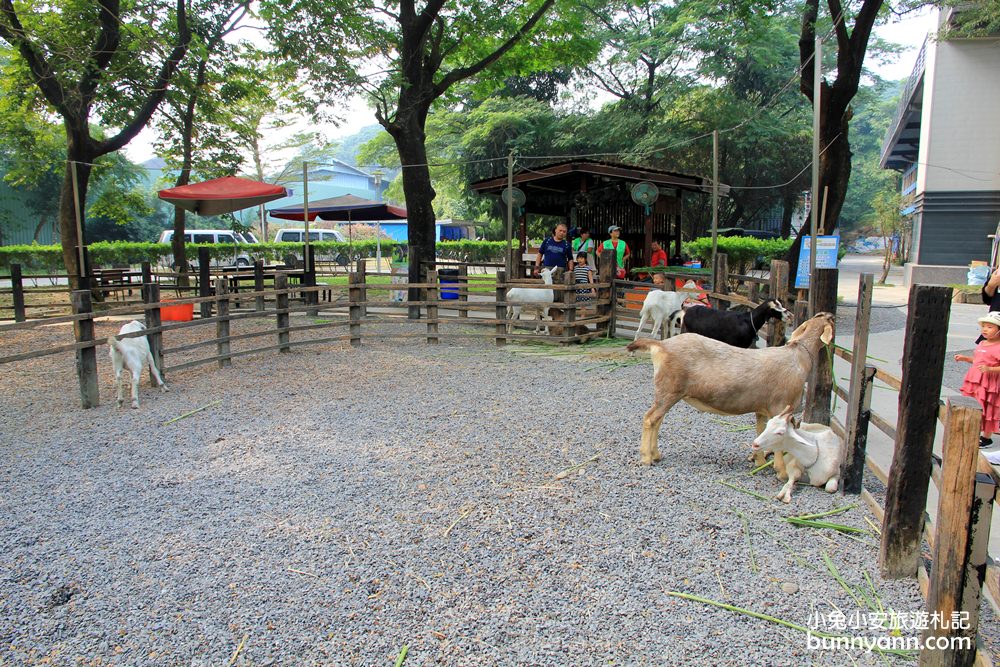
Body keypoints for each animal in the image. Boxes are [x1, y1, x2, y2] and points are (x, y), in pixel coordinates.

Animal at [624, 312, 836, 464]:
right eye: (830, 320)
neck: (799, 356)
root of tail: (661, 345)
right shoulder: (781, 406)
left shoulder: (762, 409)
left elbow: (761, 431)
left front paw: (757, 459)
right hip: (669, 391)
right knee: (650, 418)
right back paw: (646, 458)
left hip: (667, 393)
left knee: (657, 420)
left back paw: (656, 454)